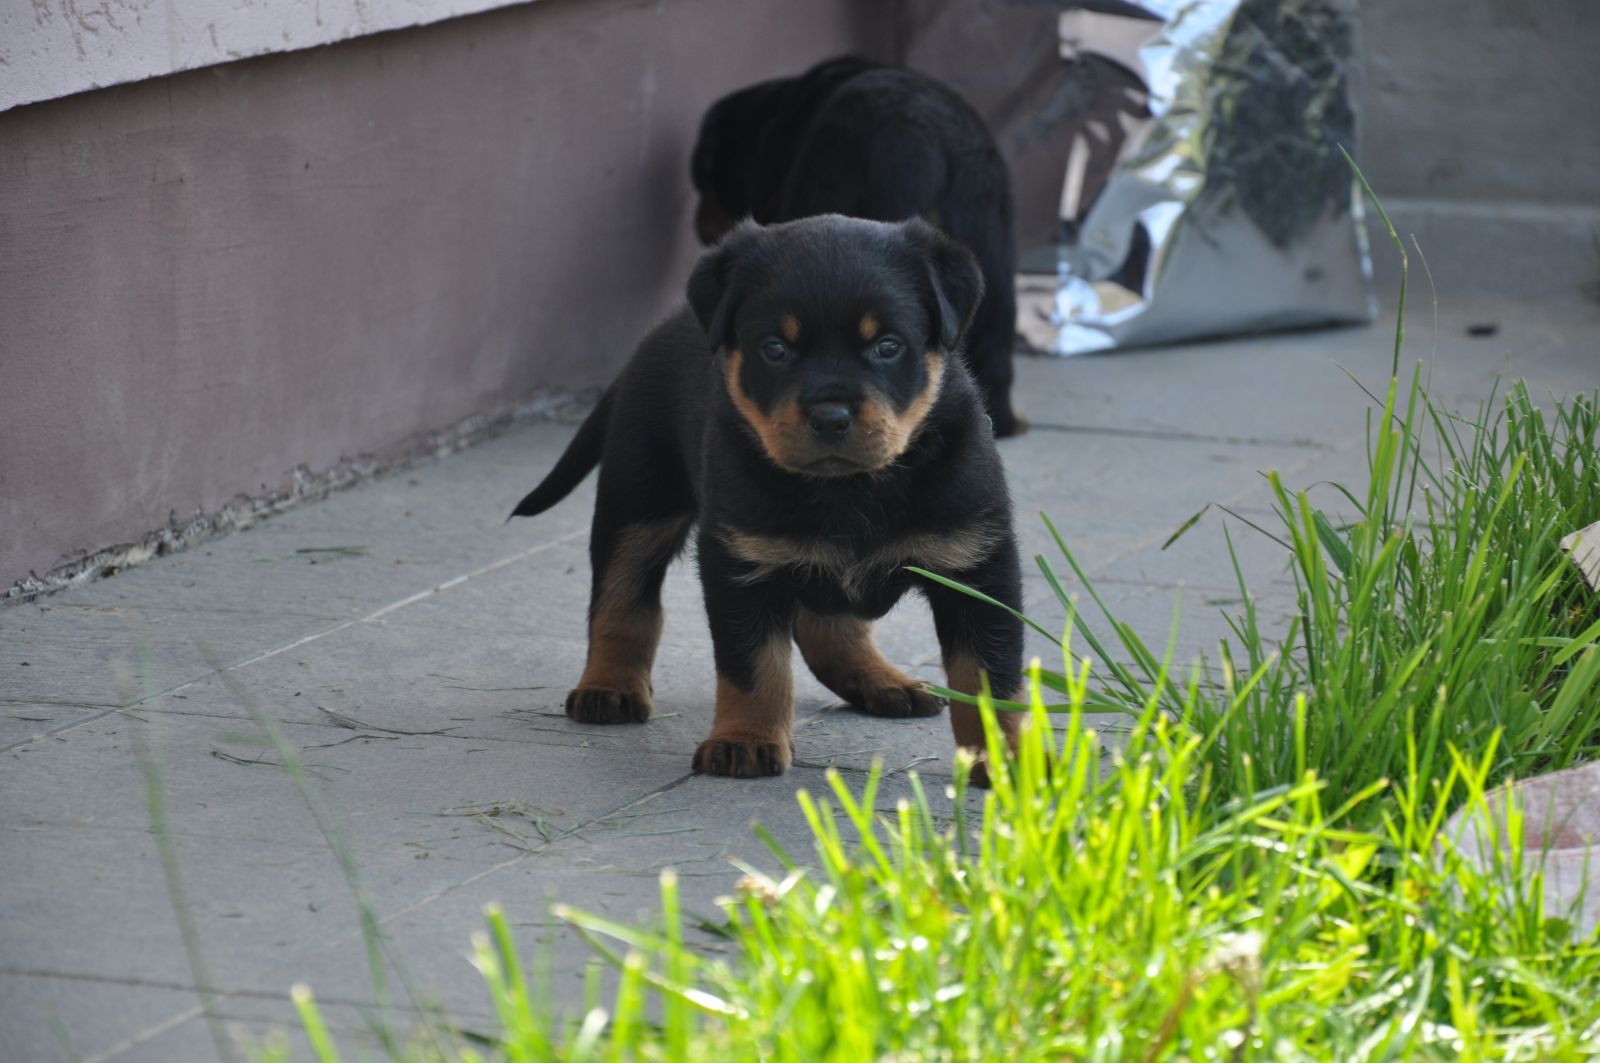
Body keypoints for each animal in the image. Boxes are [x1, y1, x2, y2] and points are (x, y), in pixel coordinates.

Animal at [511, 215, 1025, 782]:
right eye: (775, 349)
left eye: (888, 346)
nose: (830, 416)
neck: (850, 489)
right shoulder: (743, 562)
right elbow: (754, 665)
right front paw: (747, 740)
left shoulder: (977, 566)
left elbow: (988, 677)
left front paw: (1009, 763)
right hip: (637, 501)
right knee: (622, 599)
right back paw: (609, 687)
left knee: (825, 622)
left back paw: (883, 680)